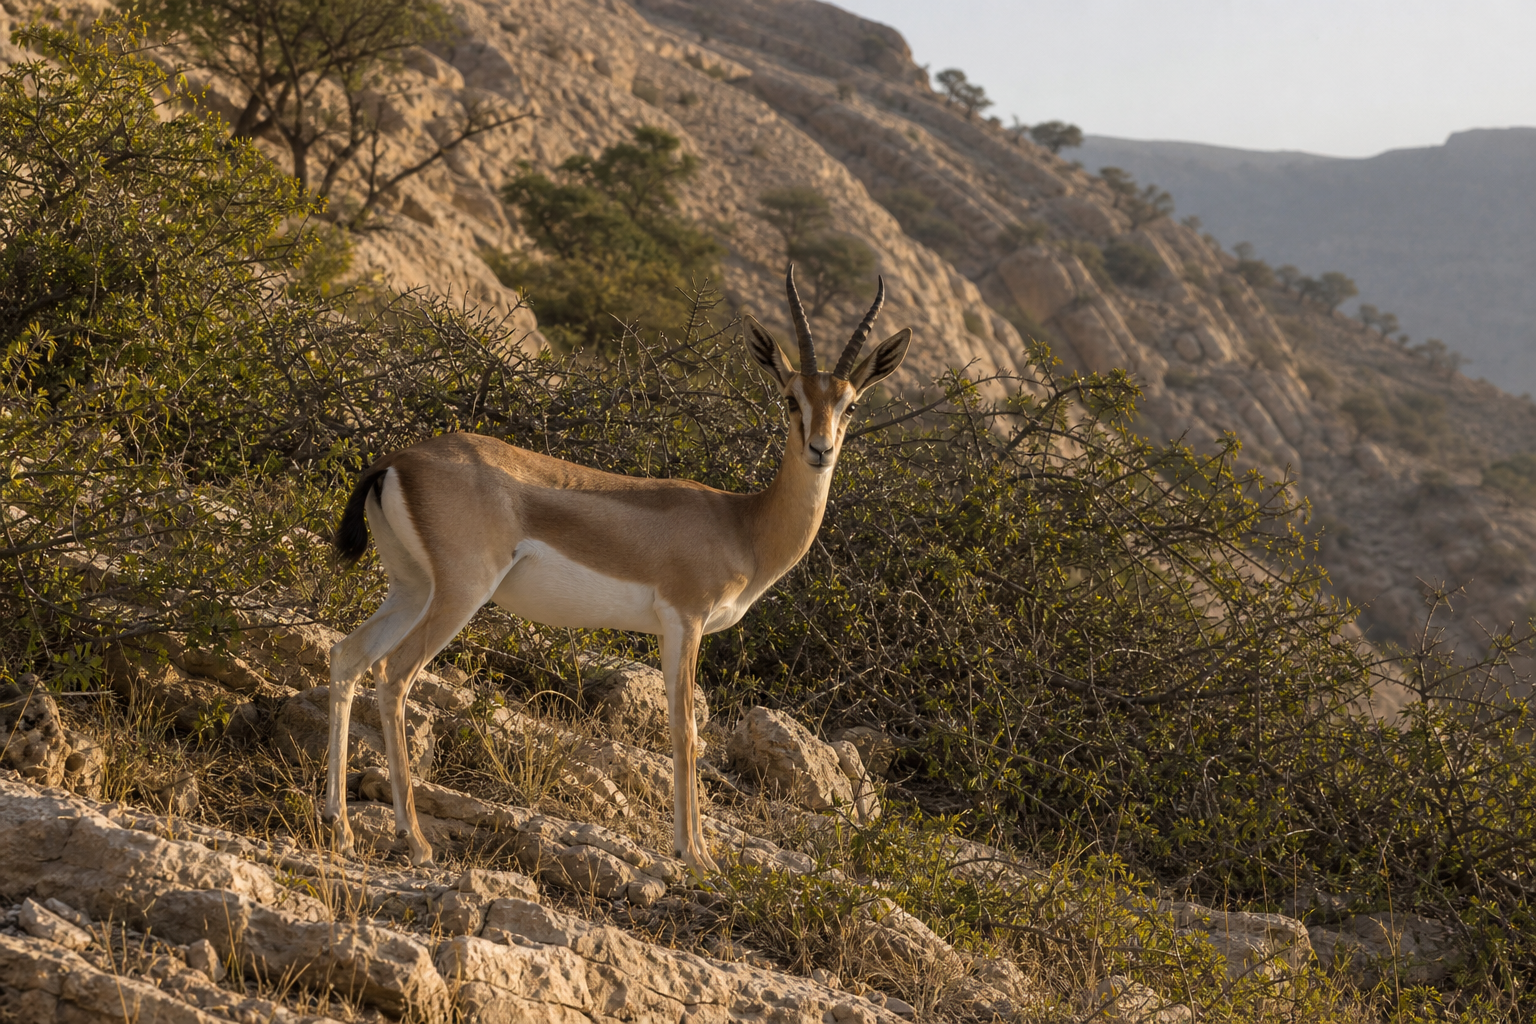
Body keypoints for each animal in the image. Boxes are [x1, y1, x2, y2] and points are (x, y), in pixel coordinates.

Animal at [324, 268, 912, 870]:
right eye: (791, 398)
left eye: (850, 405)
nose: (820, 449)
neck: (741, 524)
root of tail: (395, 460)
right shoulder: (685, 620)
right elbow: (686, 731)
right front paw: (696, 857)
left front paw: (694, 851)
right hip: (459, 593)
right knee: (394, 674)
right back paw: (415, 840)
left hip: (412, 588)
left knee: (347, 656)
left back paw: (341, 828)